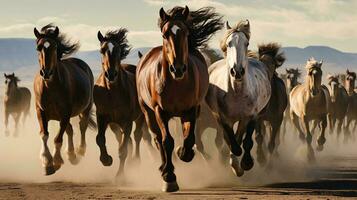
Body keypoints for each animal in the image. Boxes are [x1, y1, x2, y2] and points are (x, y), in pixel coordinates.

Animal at [32, 24, 94, 175]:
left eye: (54, 47)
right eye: (38, 48)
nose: (46, 73)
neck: (50, 87)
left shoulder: (65, 113)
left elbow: (58, 139)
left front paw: (56, 160)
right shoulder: (41, 111)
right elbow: (44, 135)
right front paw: (47, 162)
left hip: (85, 108)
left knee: (82, 126)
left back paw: (79, 151)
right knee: (70, 129)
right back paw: (71, 154)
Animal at [93, 28, 153, 180]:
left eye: (118, 50)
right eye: (102, 50)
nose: (111, 74)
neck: (112, 92)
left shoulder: (127, 121)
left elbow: (123, 150)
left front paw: (120, 176)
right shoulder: (102, 117)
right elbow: (100, 139)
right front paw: (106, 159)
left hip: (139, 118)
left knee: (137, 136)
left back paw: (136, 160)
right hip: (114, 124)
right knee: (123, 138)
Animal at [136, 6, 222, 192]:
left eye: (186, 33)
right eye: (164, 34)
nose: (178, 69)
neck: (176, 84)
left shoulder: (191, 110)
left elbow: (189, 139)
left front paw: (182, 152)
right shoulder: (160, 111)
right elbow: (166, 141)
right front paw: (169, 177)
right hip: (148, 113)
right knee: (157, 139)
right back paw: (163, 167)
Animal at [206, 20, 280, 176]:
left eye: (246, 43)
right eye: (229, 43)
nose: (237, 71)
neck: (236, 92)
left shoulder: (251, 116)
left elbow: (246, 142)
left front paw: (246, 163)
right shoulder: (223, 118)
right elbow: (232, 141)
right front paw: (236, 163)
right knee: (231, 139)